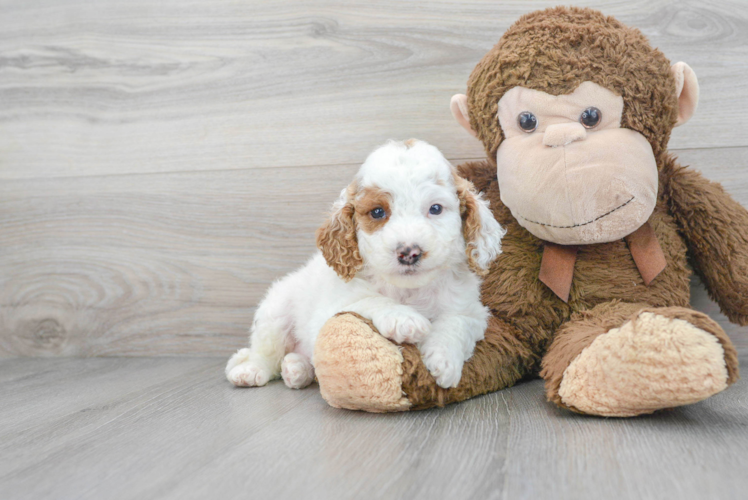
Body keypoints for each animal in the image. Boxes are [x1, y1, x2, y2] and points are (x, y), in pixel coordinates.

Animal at [225, 139, 506, 388]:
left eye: (435, 209)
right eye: (378, 212)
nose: (409, 252)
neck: (409, 290)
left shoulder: (472, 312)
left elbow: (456, 323)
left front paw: (444, 359)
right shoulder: (334, 306)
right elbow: (369, 300)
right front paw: (404, 319)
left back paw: (296, 369)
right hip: (275, 313)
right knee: (266, 352)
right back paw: (252, 370)